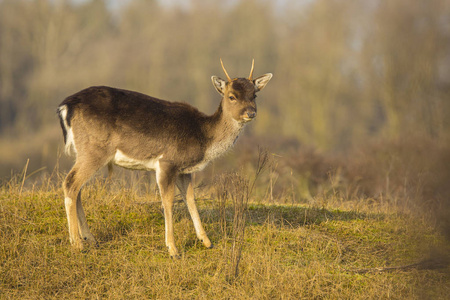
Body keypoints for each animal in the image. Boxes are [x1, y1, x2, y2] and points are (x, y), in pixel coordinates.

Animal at [58, 59, 272, 258]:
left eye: (254, 95)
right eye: (232, 96)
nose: (251, 113)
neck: (203, 139)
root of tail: (65, 106)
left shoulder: (184, 170)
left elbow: (190, 199)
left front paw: (206, 241)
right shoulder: (167, 161)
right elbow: (167, 202)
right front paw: (173, 249)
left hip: (85, 152)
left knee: (78, 188)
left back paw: (90, 239)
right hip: (95, 149)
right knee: (70, 183)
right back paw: (77, 243)